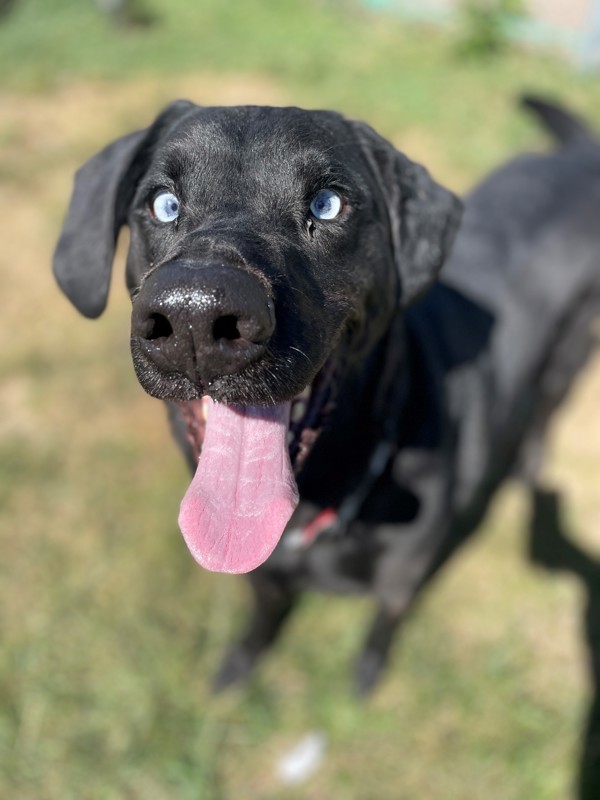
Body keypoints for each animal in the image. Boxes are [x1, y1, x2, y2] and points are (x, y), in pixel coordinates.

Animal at [54, 97, 596, 692]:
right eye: (164, 204)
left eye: (328, 203)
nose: (196, 314)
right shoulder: (266, 577)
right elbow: (265, 614)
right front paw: (241, 664)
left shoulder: (404, 576)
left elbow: (384, 623)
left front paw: (367, 673)